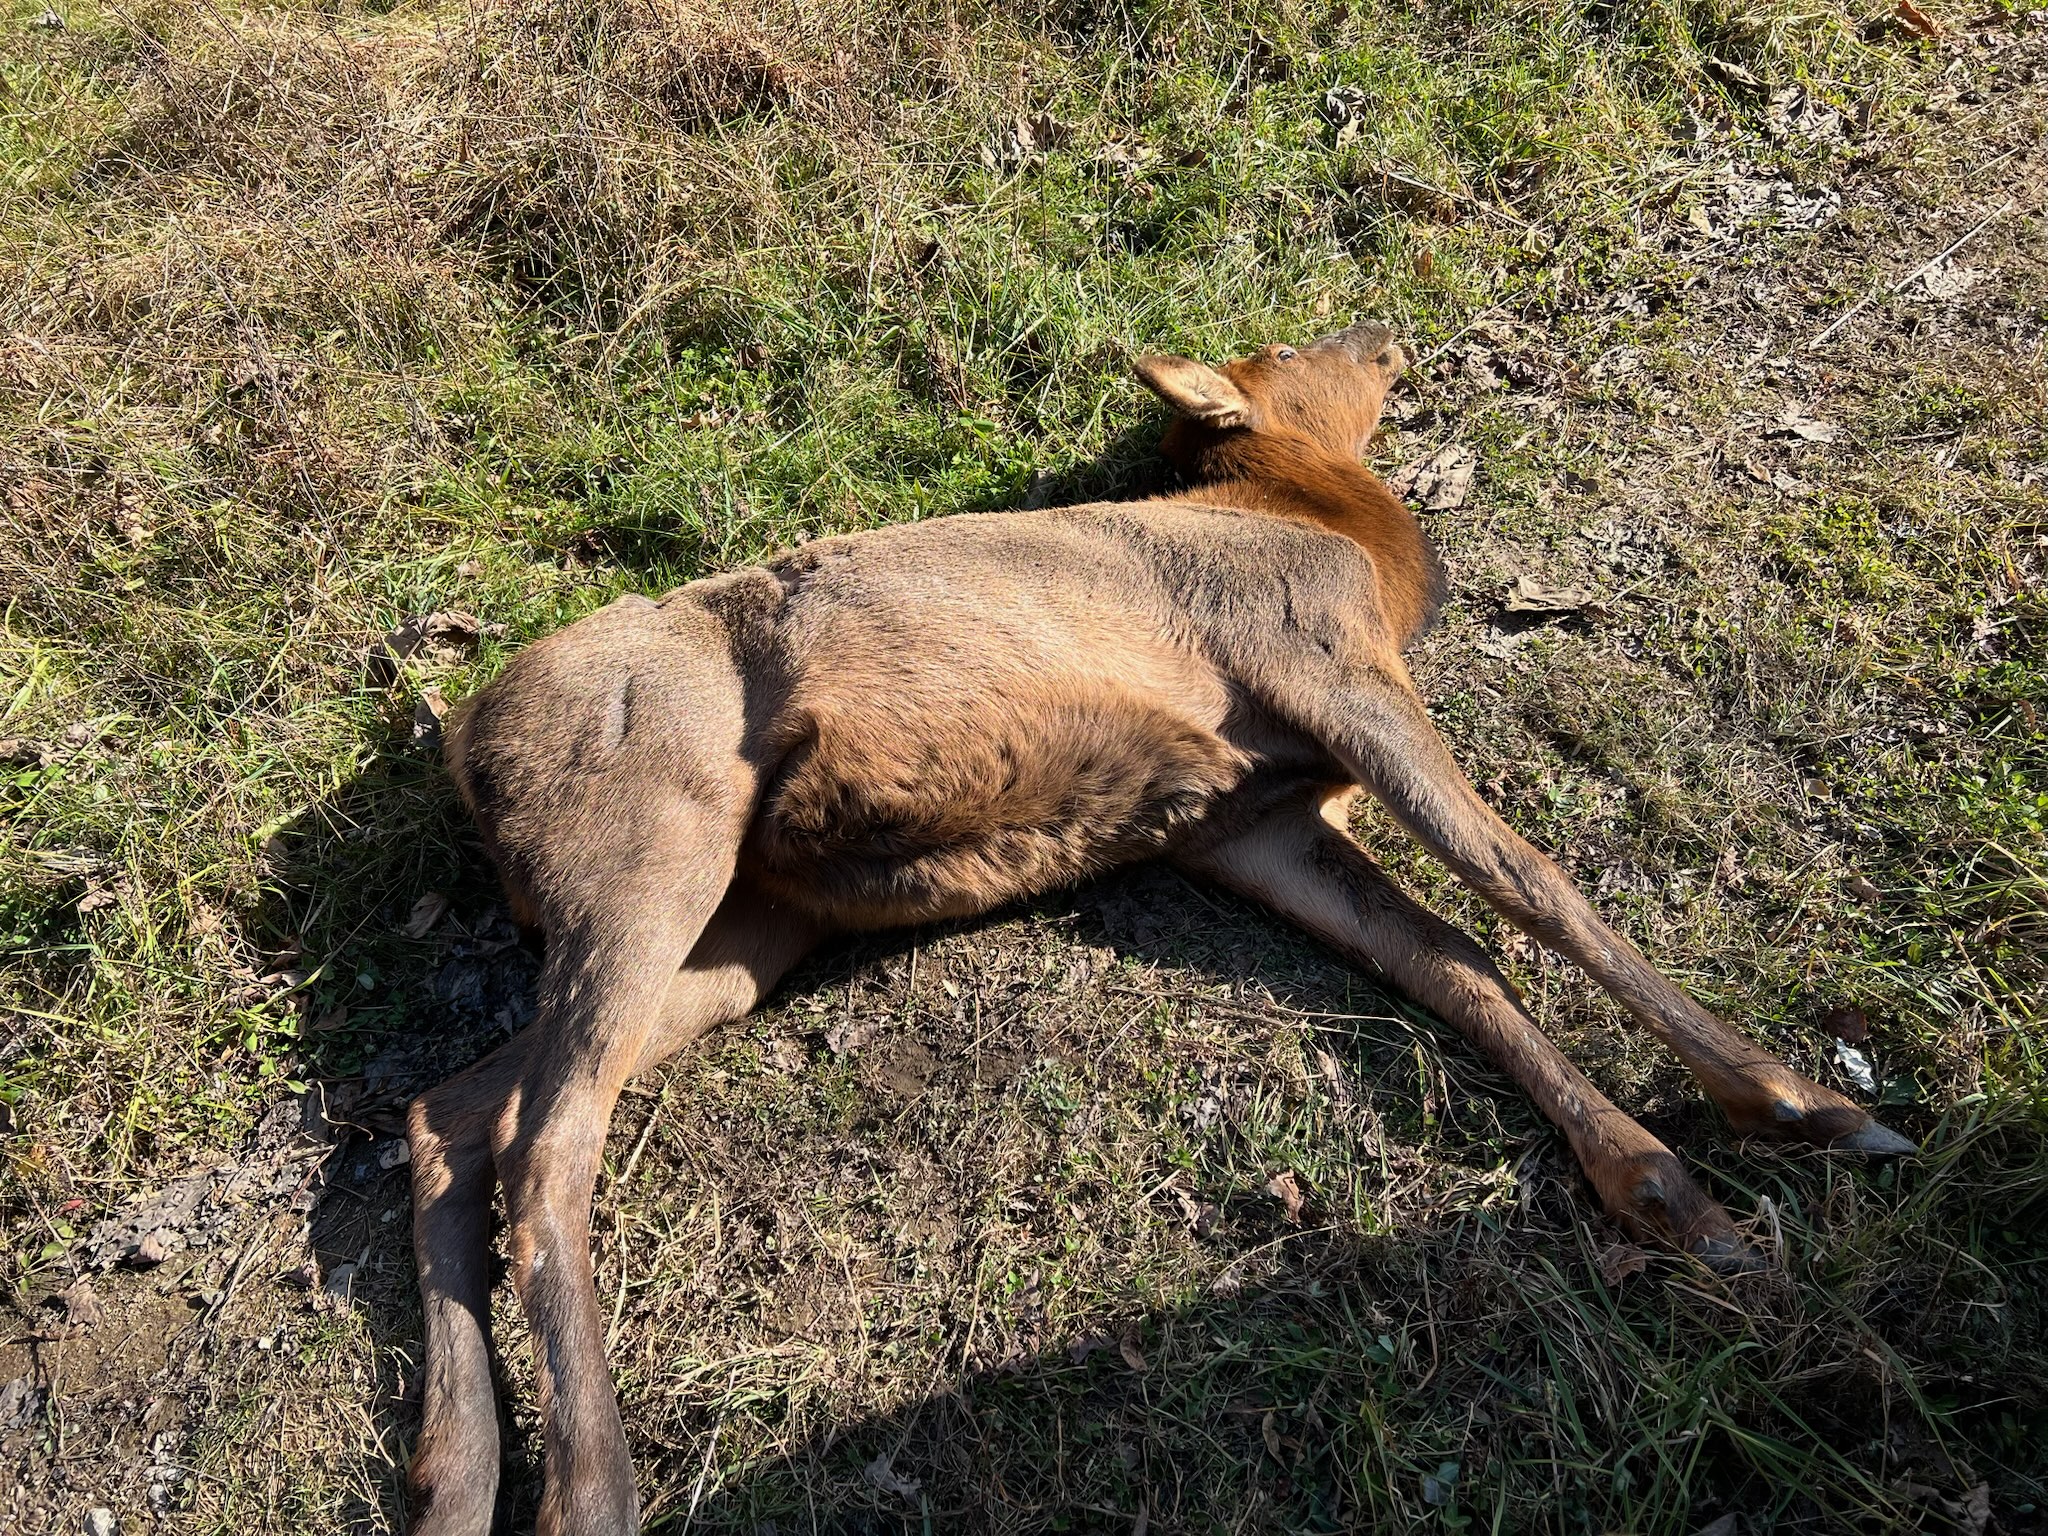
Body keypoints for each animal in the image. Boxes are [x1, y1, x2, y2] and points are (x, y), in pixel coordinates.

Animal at [403, 319, 1916, 1531]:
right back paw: (586, 1489)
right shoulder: (1323, 664)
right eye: (1284, 351)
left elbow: (1450, 964)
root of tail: (461, 745)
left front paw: (1666, 1192)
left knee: (448, 1114)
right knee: (549, 1144)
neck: (1358, 544)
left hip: (746, 932)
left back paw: (454, 1472)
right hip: (651, 845)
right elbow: (1526, 881)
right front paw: (1797, 1102)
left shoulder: (1250, 820)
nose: (1385, 332)